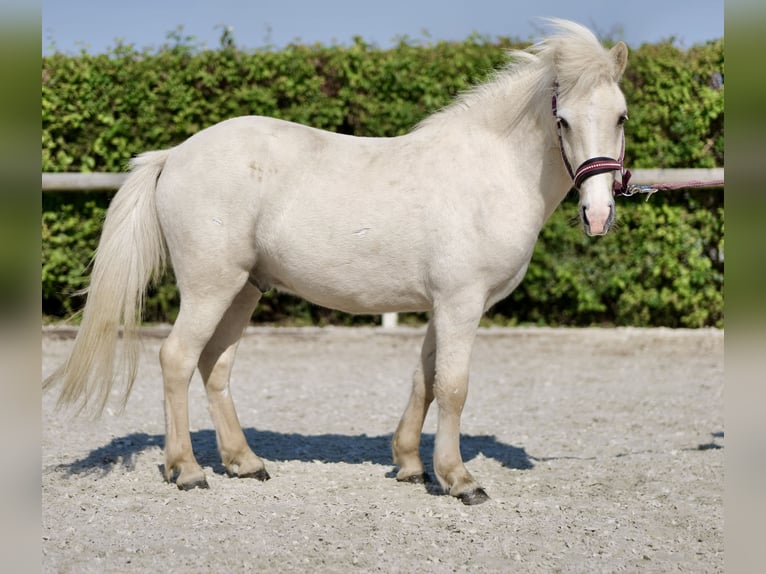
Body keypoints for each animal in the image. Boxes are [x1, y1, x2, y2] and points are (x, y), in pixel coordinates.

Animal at [43, 18, 632, 506]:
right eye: (562, 121)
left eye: (621, 117)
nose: (598, 214)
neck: (489, 170)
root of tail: (173, 155)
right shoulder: (461, 303)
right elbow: (453, 387)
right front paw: (459, 479)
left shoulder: (441, 306)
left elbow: (424, 379)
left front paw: (410, 465)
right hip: (211, 287)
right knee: (177, 359)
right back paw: (187, 469)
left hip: (244, 290)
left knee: (216, 367)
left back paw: (245, 463)